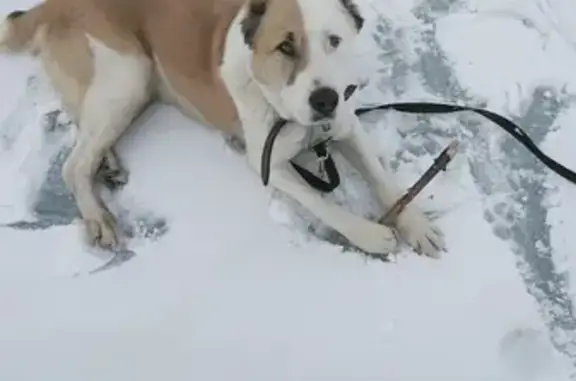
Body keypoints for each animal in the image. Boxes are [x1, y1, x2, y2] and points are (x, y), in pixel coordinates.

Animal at [0, 0, 446, 258]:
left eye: (334, 41)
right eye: (286, 46)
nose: (324, 100)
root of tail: (52, 3)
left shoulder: (346, 125)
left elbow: (383, 177)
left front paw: (415, 224)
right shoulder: (267, 163)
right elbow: (323, 202)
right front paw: (369, 234)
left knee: (85, 129)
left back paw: (107, 162)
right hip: (127, 73)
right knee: (72, 164)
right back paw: (97, 216)